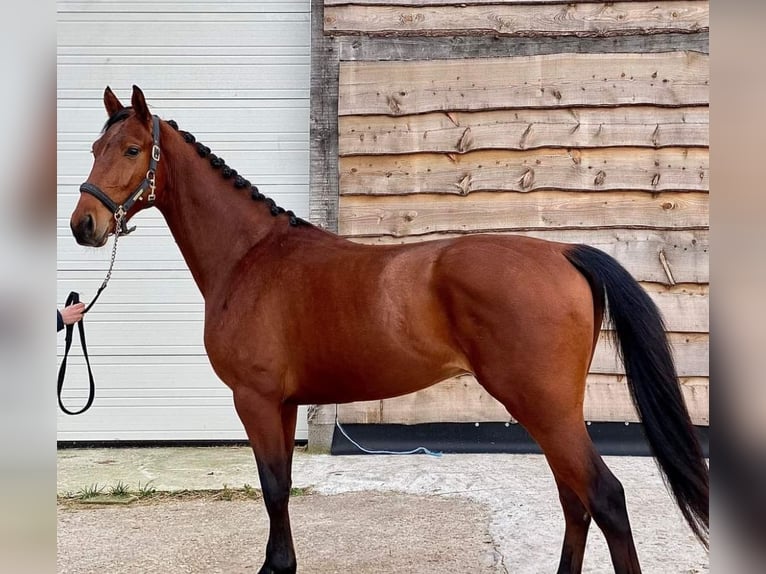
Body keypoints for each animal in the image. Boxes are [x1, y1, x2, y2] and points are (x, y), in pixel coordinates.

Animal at [69, 85, 708, 574]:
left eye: (132, 148)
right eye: (95, 146)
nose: (84, 224)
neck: (251, 256)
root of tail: (565, 253)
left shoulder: (255, 399)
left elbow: (273, 487)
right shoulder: (280, 404)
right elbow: (281, 486)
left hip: (544, 407)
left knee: (605, 499)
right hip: (551, 412)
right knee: (575, 502)